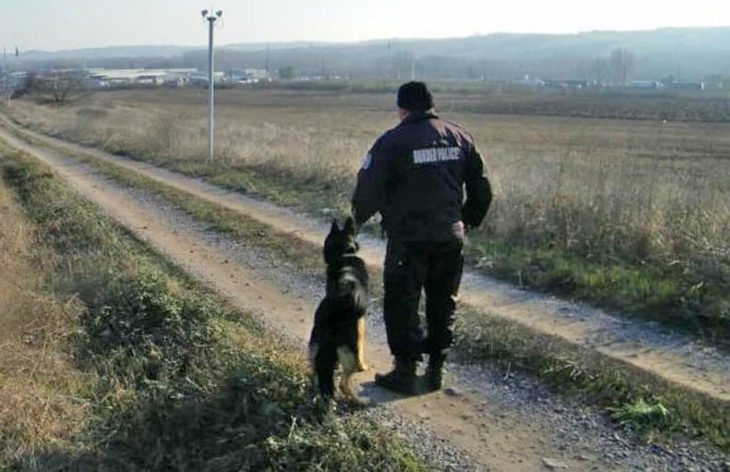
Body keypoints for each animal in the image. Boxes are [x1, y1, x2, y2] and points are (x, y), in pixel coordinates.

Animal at [308, 217, 366, 402]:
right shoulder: (361, 321)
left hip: (314, 348)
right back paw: (359, 400)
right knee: (343, 383)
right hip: (349, 354)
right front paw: (364, 365)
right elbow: (362, 343)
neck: (343, 255)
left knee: (315, 373)